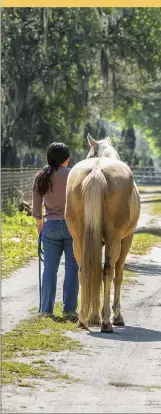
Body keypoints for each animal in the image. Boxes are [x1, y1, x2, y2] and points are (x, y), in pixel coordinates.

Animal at [65, 135, 140, 334]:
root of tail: (97, 170)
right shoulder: (126, 239)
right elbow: (118, 274)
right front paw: (116, 317)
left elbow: (95, 272)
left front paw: (94, 317)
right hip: (115, 240)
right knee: (108, 270)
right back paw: (107, 322)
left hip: (78, 239)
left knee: (84, 269)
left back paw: (83, 319)